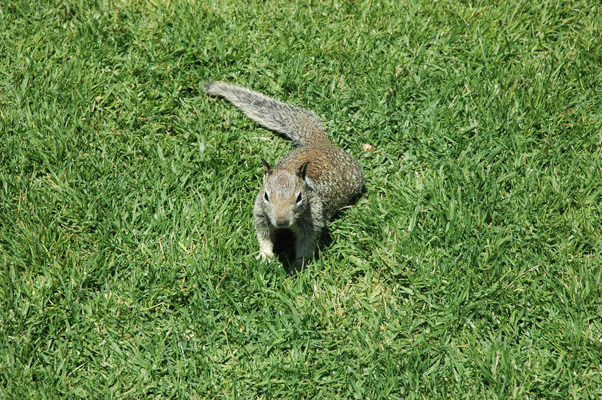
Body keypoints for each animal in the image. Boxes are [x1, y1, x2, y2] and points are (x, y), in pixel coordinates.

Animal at [204, 81, 364, 268]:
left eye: (299, 197)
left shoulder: (312, 221)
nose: (281, 221)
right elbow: (264, 236)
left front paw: (297, 266)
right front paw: (265, 256)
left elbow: (307, 244)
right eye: (266, 195)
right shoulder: (261, 214)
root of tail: (321, 143)